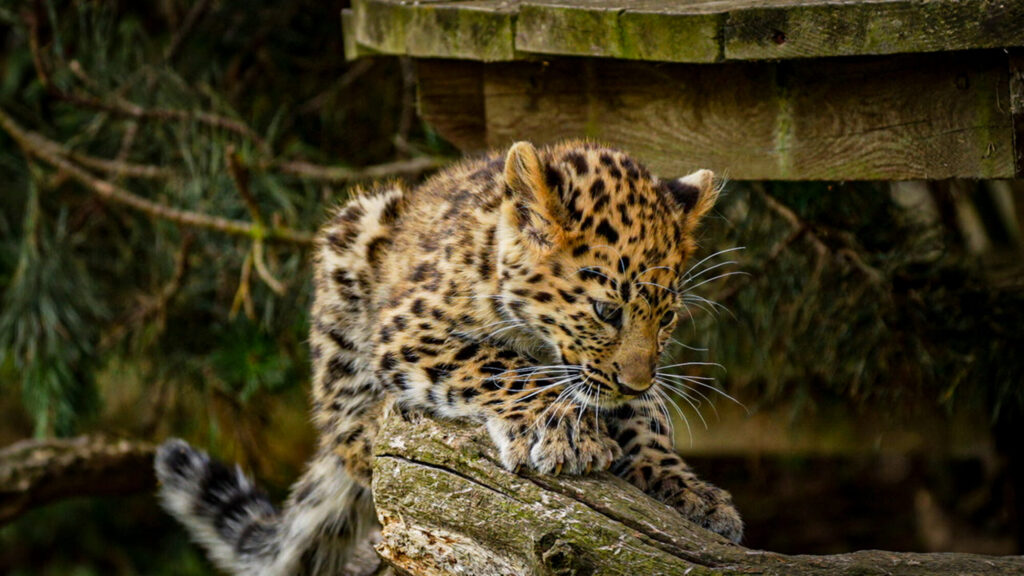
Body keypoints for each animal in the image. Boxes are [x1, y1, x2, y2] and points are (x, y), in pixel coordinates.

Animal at [155, 140, 743, 575]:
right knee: (345, 430)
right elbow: (505, 367)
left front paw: (692, 493)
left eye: (667, 318)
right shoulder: (410, 329)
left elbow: (646, 420)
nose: (635, 381)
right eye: (606, 310)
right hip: (355, 230)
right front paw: (567, 434)